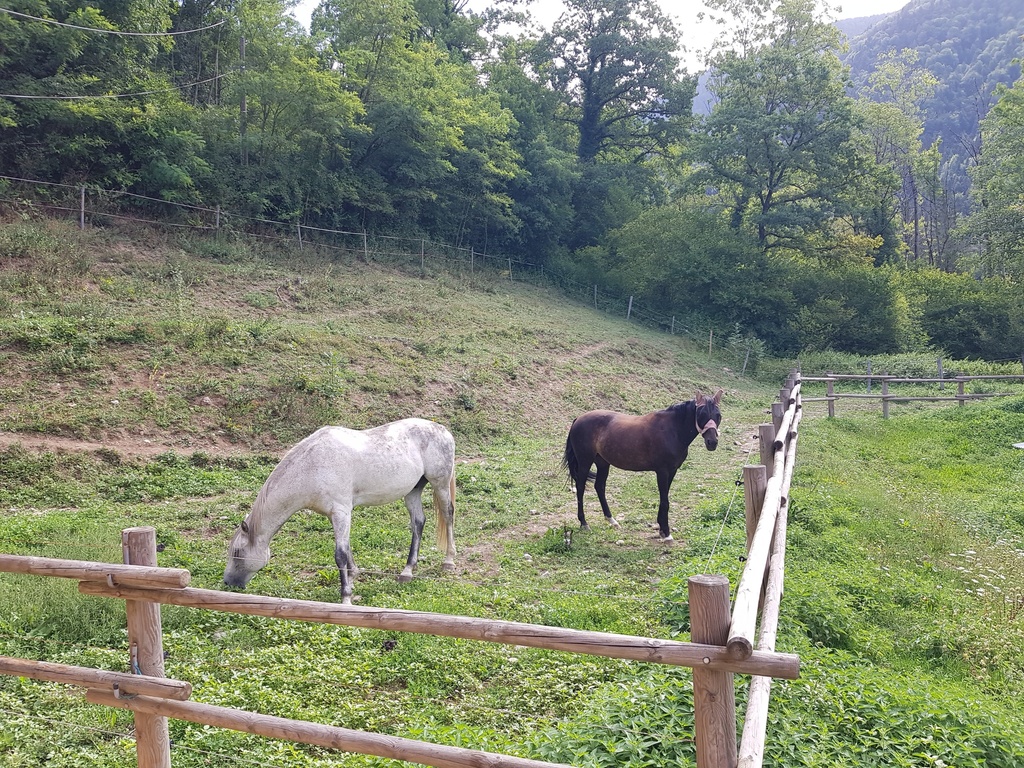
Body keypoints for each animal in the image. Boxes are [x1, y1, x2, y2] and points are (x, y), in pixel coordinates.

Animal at [227, 421, 460, 606]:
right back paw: (407, 571)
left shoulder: (341, 512)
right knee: (418, 522)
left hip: (440, 484)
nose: (228, 583)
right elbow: (347, 548)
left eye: (238, 552)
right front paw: (354, 576)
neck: (312, 466)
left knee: (448, 514)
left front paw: (346, 596)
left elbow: (339, 554)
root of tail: (443, 430)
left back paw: (449, 561)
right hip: (412, 491)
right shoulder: (337, 515)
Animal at [565, 391, 724, 540]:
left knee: (599, 486)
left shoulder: (672, 471)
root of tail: (578, 419)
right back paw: (584, 523)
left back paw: (611, 520)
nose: (712, 442)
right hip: (585, 462)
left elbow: (664, 498)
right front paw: (666, 533)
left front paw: (662, 529)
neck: (672, 430)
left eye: (718, 415)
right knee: (580, 488)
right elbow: (665, 501)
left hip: (603, 463)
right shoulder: (662, 471)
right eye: (701, 414)